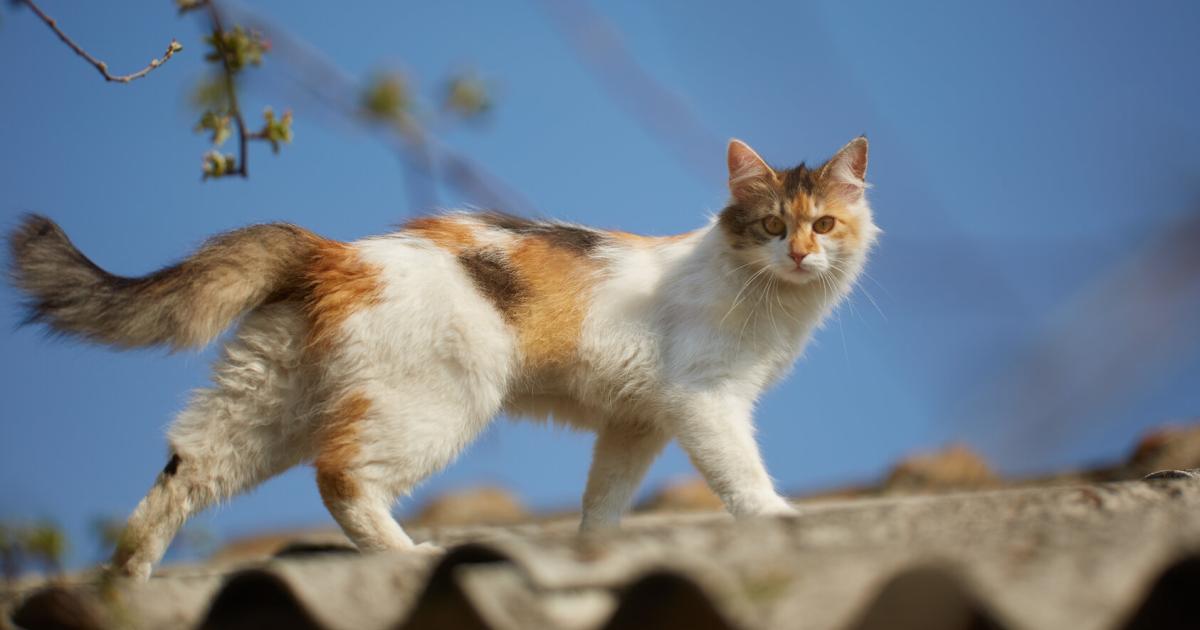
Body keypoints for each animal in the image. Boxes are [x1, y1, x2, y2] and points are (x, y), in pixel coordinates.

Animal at [4, 135, 878, 578]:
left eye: (824, 225)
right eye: (772, 226)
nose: (802, 255)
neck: (767, 296)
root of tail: (342, 252)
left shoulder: (636, 423)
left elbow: (604, 500)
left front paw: (592, 545)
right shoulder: (707, 400)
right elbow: (740, 472)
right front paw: (776, 516)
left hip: (267, 403)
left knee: (184, 467)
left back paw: (127, 582)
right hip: (439, 400)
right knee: (341, 476)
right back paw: (404, 553)